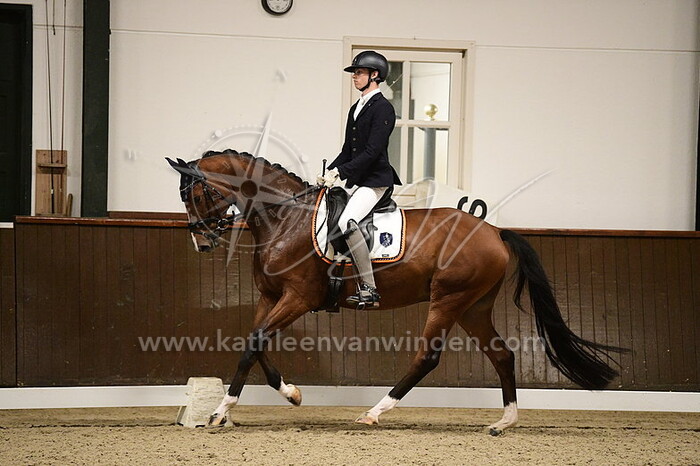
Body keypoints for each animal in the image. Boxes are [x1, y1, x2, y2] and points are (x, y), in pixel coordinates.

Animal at [166, 149, 624, 435]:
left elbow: (253, 344)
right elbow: (254, 344)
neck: (284, 217)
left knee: (428, 357)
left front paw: (220, 412)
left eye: (196, 193)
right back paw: (502, 423)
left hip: (448, 300)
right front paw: (287, 395)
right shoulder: (270, 297)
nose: (201, 242)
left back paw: (375, 412)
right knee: (503, 355)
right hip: (473, 307)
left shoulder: (298, 298)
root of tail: (493, 231)